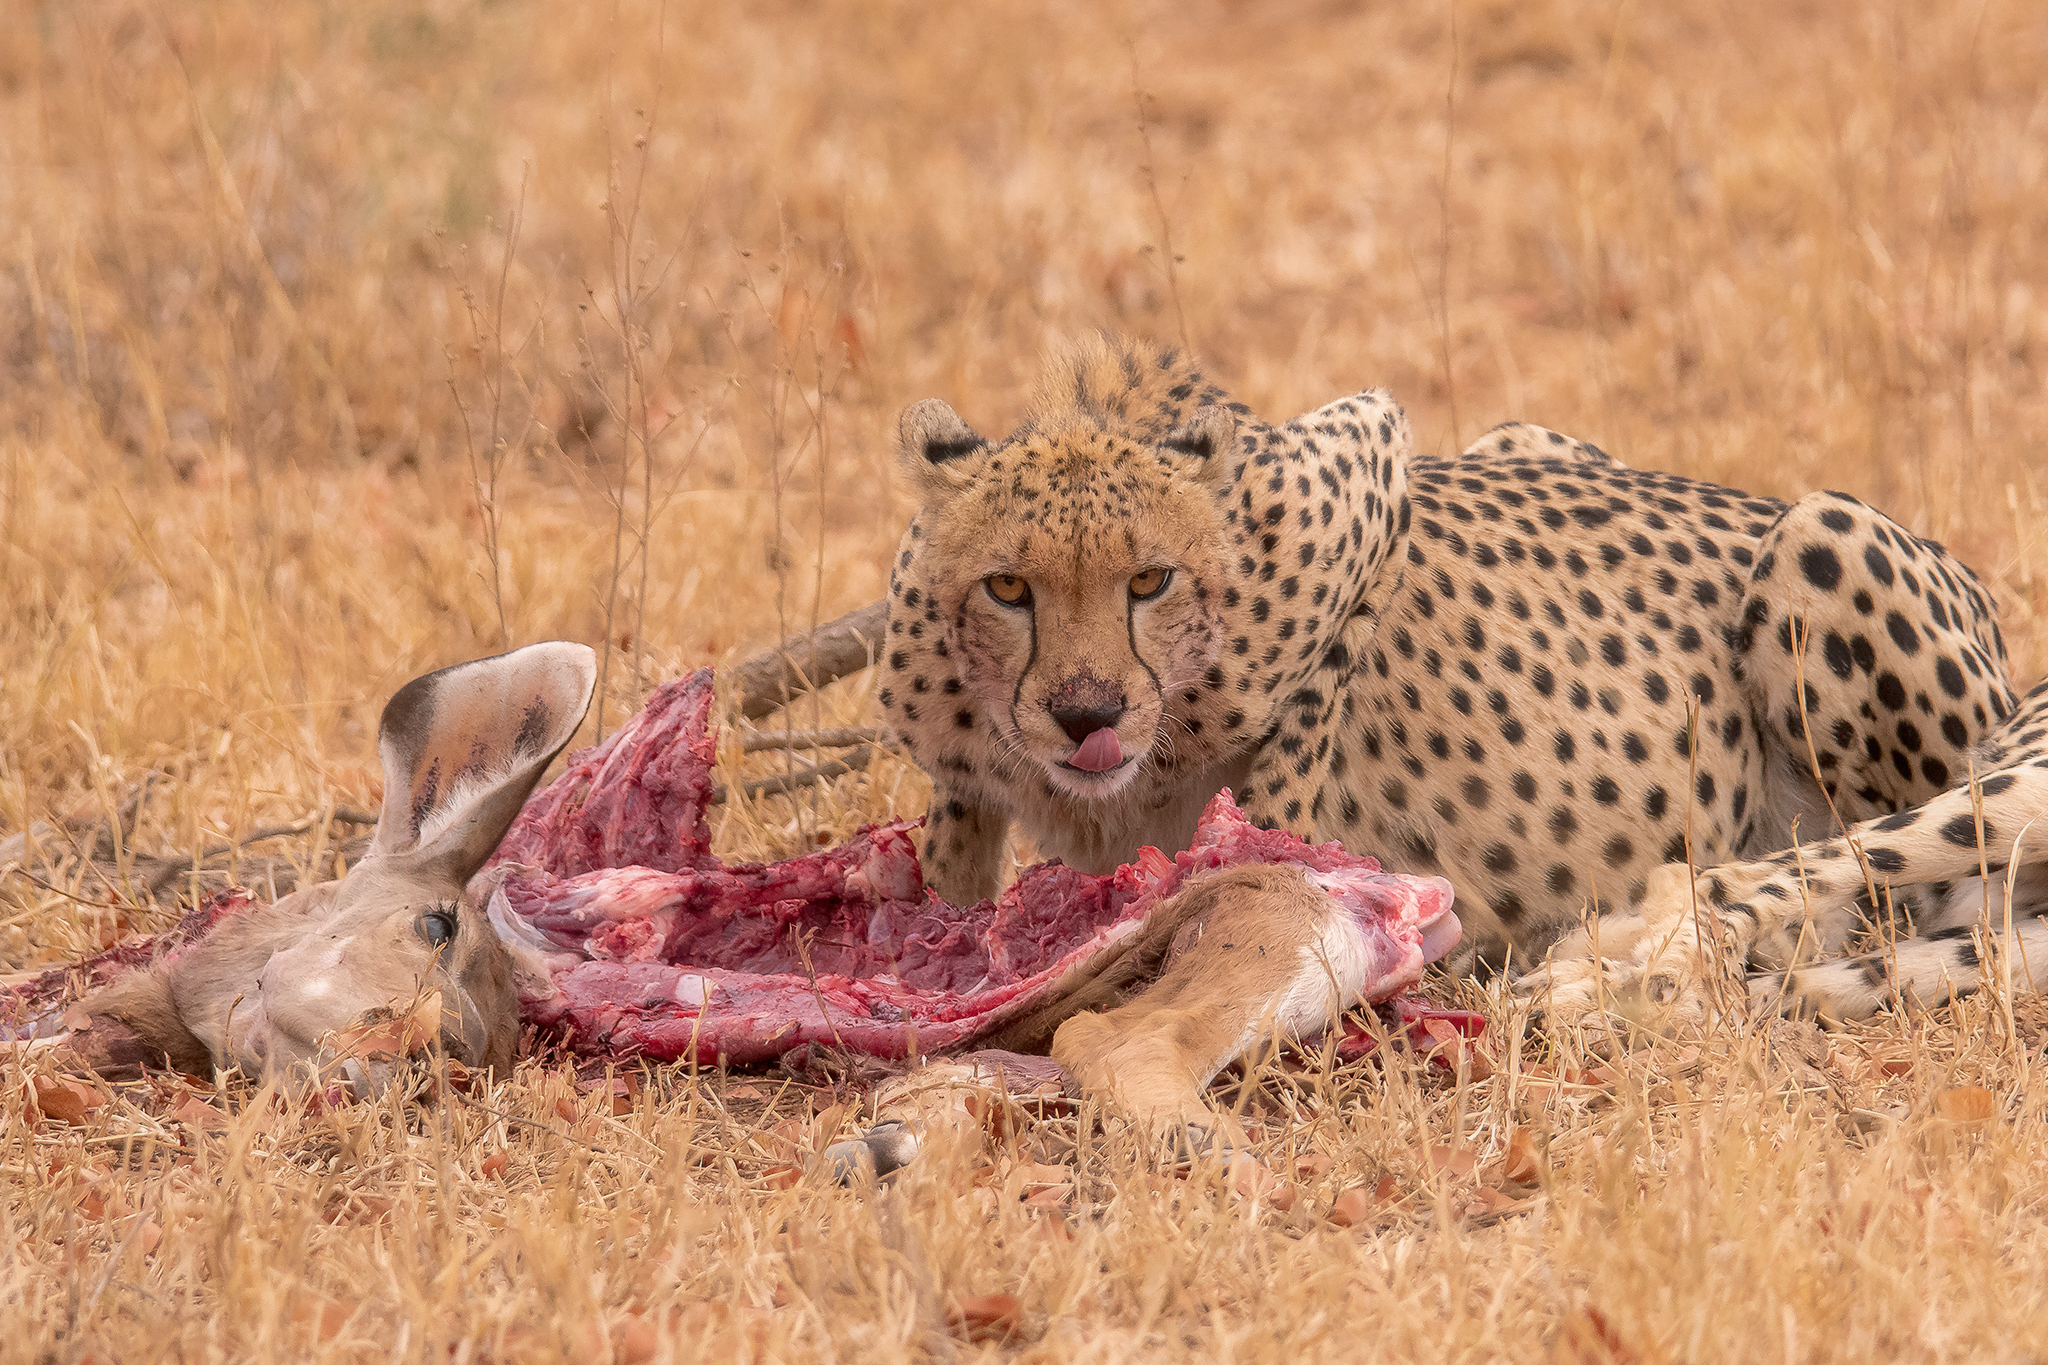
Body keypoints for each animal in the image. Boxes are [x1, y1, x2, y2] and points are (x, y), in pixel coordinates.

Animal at [874, 332, 2044, 1138]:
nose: (1088, 712)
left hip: (1821, 537)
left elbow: (1289, 787)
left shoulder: (1360, 478)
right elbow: (954, 850)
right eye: (1008, 587)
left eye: (1149, 581)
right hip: (1525, 436)